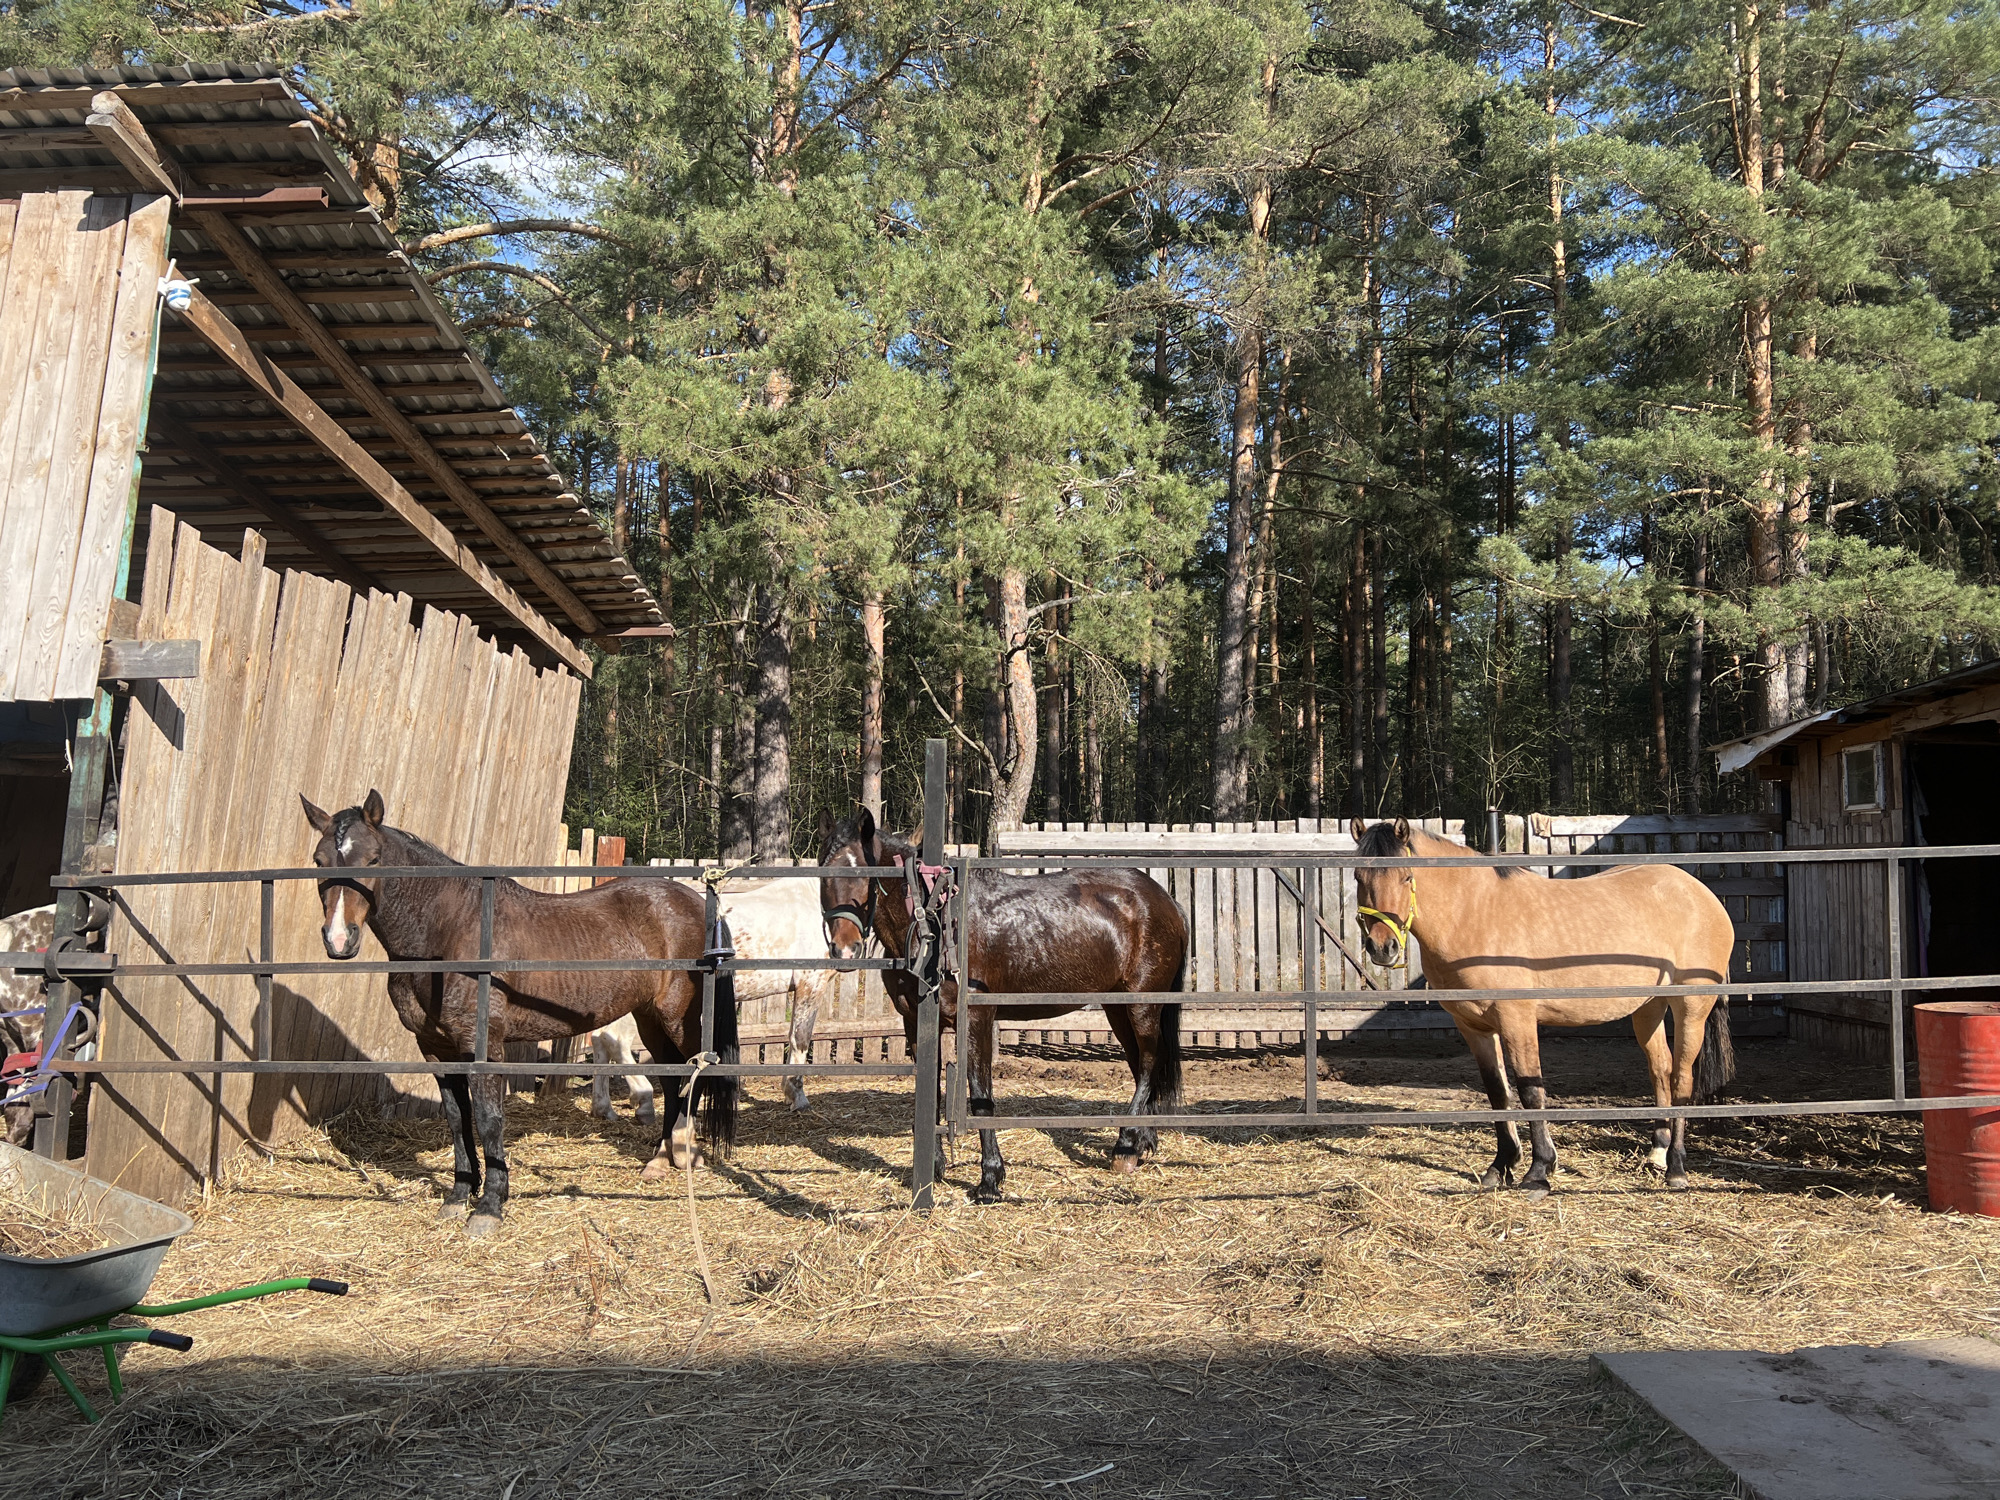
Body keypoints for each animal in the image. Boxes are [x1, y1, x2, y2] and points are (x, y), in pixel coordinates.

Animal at [302, 790, 737, 1235]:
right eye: (319, 861)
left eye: (373, 859)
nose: (339, 939)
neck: (449, 932)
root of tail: (694, 902)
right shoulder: (437, 1050)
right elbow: (458, 1119)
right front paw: (459, 1197)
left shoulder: (483, 1049)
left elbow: (489, 1120)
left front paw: (489, 1206)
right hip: (650, 1020)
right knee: (672, 1079)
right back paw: (660, 1161)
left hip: (679, 1019)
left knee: (693, 1075)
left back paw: (686, 1154)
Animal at [817, 807, 1186, 1203]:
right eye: (823, 871)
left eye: (863, 873)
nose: (844, 950)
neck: (939, 928)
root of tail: (1165, 901)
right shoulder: (916, 1023)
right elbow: (931, 1092)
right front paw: (935, 1168)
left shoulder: (976, 1019)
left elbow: (980, 1093)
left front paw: (990, 1180)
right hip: (1118, 1006)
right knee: (1140, 1062)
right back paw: (1143, 1140)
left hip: (1143, 1004)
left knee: (1149, 1062)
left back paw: (1126, 1147)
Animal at [1349, 817, 1736, 1194]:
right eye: (1358, 876)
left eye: (1406, 876)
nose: (1382, 948)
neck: (1475, 914)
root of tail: (1701, 894)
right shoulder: (1474, 1027)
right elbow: (1497, 1091)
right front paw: (1500, 1167)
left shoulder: (1516, 1019)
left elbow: (1530, 1090)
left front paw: (1539, 1171)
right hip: (1648, 1007)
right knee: (1661, 1069)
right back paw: (1656, 1153)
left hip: (1690, 1007)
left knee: (1683, 1078)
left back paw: (1677, 1168)